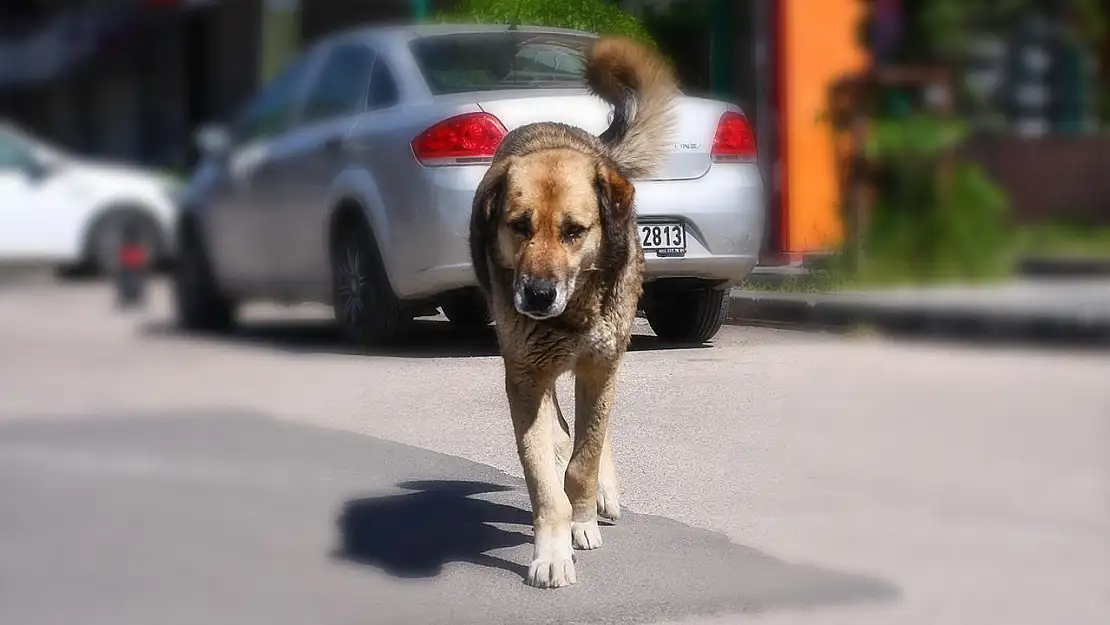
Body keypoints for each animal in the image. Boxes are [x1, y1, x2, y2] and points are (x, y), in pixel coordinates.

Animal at [468, 36, 674, 590]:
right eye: (519, 225)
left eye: (574, 231)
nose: (538, 295)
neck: (573, 313)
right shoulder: (525, 376)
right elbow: (543, 479)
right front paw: (552, 550)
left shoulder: (599, 368)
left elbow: (586, 457)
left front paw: (582, 520)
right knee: (561, 432)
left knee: (591, 438)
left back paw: (600, 491)